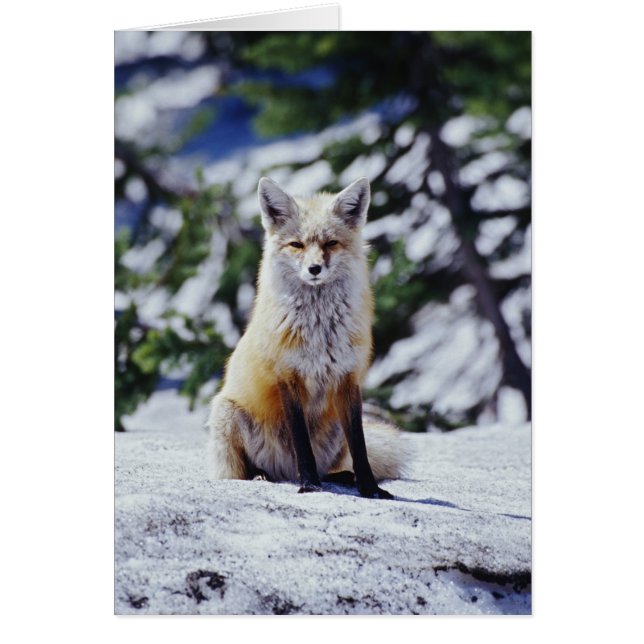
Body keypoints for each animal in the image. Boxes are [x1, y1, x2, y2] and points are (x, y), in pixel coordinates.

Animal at [207, 176, 407, 498]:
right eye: (297, 245)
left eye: (330, 243)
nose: (315, 268)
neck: (320, 332)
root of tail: (285, 472)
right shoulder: (288, 378)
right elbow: (302, 443)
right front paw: (310, 485)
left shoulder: (348, 378)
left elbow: (360, 446)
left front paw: (369, 488)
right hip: (226, 413)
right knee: (244, 471)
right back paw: (263, 475)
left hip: (334, 430)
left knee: (335, 464)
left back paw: (342, 477)